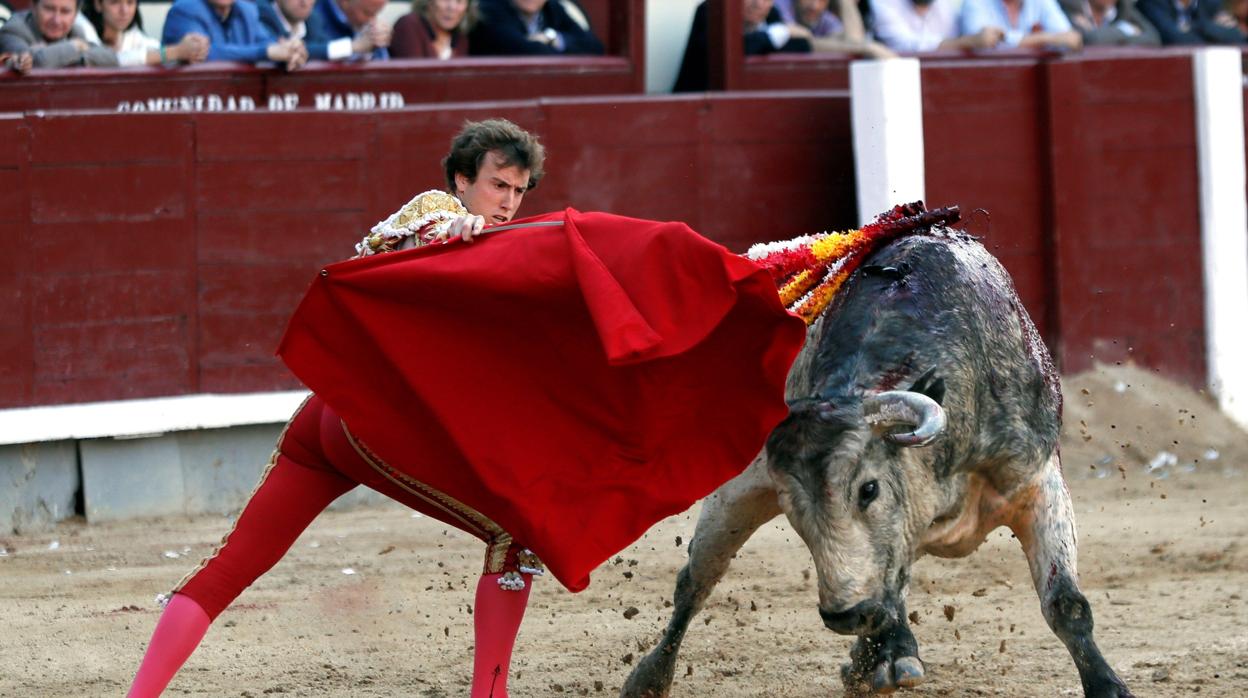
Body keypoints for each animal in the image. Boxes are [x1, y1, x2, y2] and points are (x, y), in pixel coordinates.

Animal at [621, 227, 1133, 694]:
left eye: (869, 489)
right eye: (792, 509)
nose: (847, 616)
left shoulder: (1037, 480)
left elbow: (1065, 603)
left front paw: (1108, 686)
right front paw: (884, 657)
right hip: (736, 495)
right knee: (695, 582)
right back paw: (650, 678)